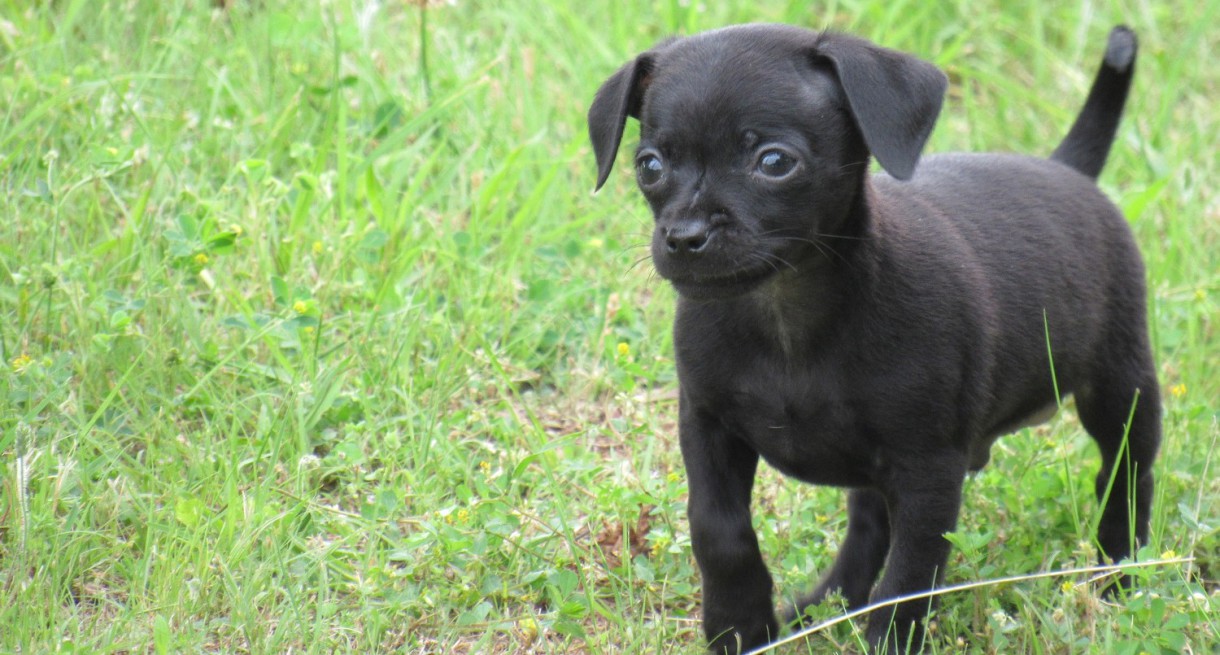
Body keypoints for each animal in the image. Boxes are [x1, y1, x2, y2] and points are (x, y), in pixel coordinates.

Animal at [585, 23, 1156, 648]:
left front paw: (888, 641)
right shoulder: (707, 426)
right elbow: (719, 530)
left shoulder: (929, 469)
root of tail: (1067, 169)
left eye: (774, 162)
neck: (785, 317)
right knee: (867, 524)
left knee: (1126, 474)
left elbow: (909, 574)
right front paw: (739, 627)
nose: (684, 237)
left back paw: (1119, 575)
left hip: (1122, 388)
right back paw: (827, 603)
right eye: (649, 166)